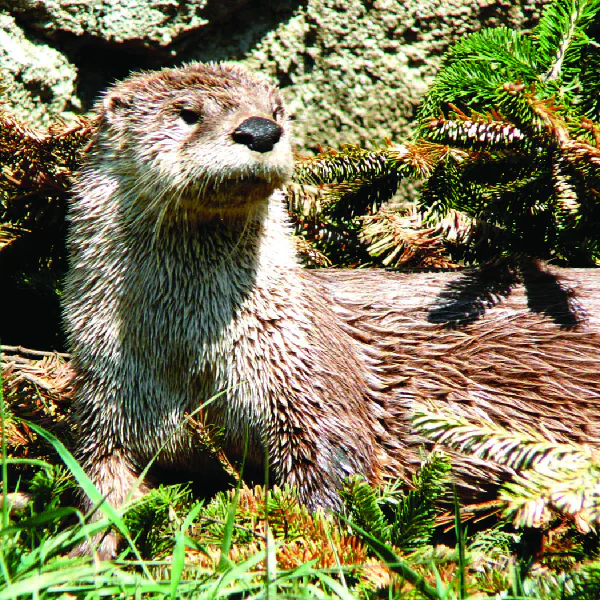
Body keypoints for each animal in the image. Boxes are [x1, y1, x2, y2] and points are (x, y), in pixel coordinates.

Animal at [63, 62, 600, 556]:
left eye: (276, 110)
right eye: (187, 113)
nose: (260, 130)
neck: (186, 353)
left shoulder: (306, 375)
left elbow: (334, 473)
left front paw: (308, 543)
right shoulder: (106, 395)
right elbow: (99, 482)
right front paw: (92, 553)